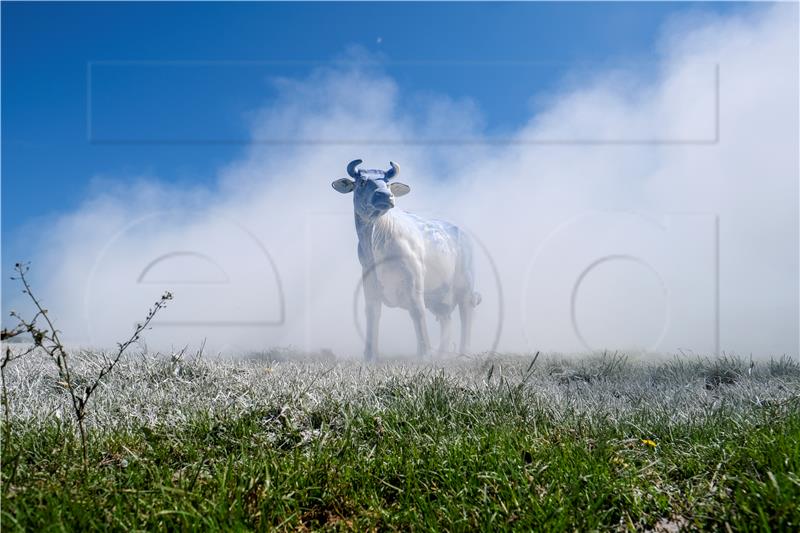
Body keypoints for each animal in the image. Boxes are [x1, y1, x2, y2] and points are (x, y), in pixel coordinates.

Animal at [332, 158, 482, 358]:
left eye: (387, 183)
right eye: (362, 182)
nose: (385, 196)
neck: (376, 239)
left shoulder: (414, 279)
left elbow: (417, 311)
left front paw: (424, 354)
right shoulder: (370, 283)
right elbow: (372, 313)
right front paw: (370, 355)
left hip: (465, 283)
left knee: (466, 310)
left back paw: (463, 353)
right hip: (440, 294)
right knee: (445, 318)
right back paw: (442, 354)